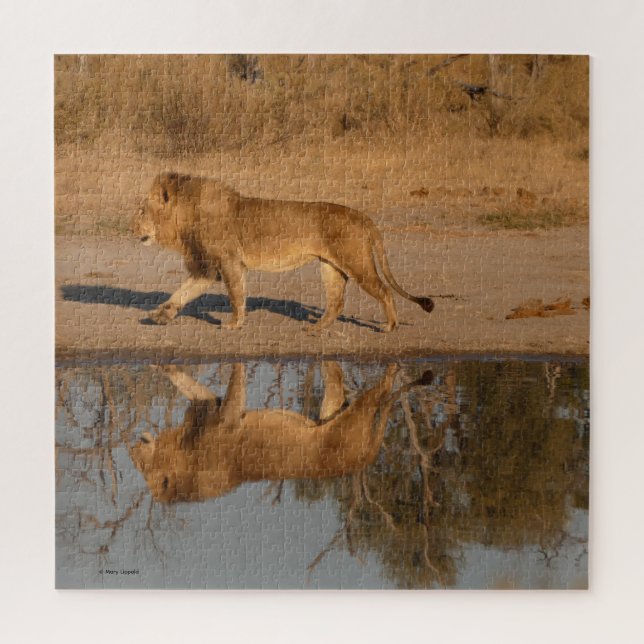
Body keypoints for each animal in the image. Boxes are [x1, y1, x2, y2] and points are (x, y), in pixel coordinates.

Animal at [129, 362, 432, 503]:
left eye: (141, 466)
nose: (130, 449)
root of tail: (365, 461)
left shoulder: (227, 417)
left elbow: (236, 382)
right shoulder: (208, 406)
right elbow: (185, 382)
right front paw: (162, 367)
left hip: (354, 416)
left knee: (381, 392)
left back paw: (394, 368)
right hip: (333, 410)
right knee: (342, 381)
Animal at [132, 172, 434, 331]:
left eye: (142, 210)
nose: (131, 228)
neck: (185, 218)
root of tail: (362, 215)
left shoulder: (228, 263)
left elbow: (235, 296)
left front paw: (234, 324)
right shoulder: (208, 268)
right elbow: (181, 292)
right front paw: (160, 315)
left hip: (356, 262)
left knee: (384, 290)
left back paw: (389, 326)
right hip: (330, 266)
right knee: (336, 301)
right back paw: (317, 328)